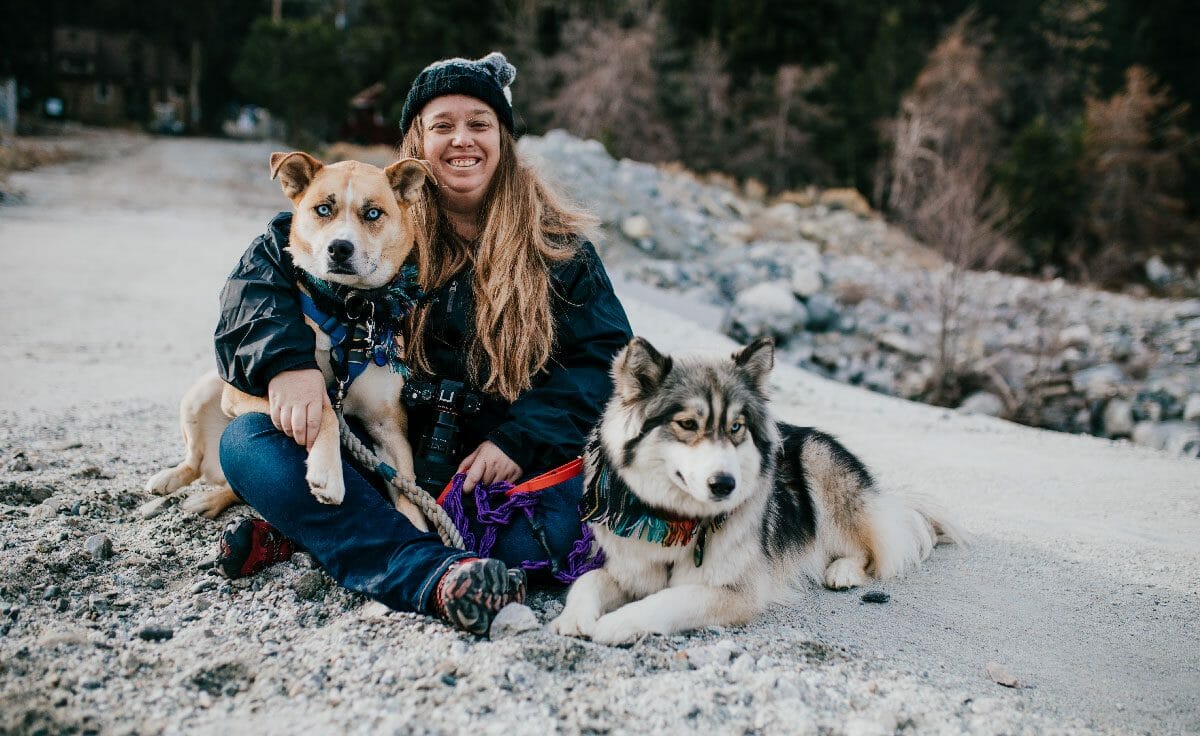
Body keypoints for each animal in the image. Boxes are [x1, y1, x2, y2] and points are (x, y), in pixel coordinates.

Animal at [147, 150, 434, 528]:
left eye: (373, 213)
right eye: (323, 209)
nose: (340, 248)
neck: (346, 309)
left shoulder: (389, 429)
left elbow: (409, 495)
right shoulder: (263, 395)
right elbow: (323, 406)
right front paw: (329, 474)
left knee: (233, 486)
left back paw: (209, 499)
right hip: (203, 392)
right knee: (195, 460)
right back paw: (170, 482)